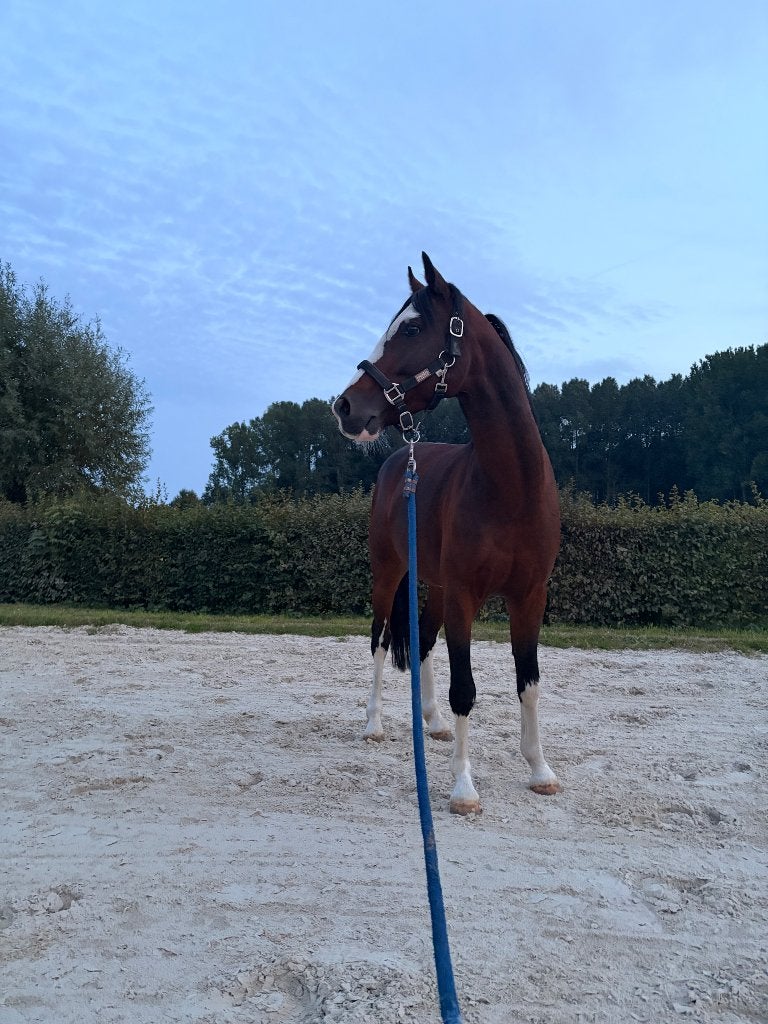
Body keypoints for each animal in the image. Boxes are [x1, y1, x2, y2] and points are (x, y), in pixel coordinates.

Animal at [332, 253, 561, 814]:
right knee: (379, 637)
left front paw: (540, 770)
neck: (509, 488)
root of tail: (399, 459)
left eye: (413, 327)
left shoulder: (529, 597)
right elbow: (466, 689)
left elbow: (529, 683)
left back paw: (431, 723)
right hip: (388, 575)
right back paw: (373, 724)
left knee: (423, 642)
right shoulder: (464, 596)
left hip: (431, 583)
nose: (345, 407)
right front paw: (462, 788)